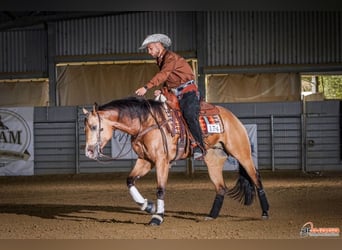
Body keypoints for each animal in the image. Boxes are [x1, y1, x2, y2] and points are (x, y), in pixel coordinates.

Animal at [83, 95, 270, 227]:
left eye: (94, 127)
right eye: (85, 128)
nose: (89, 152)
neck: (146, 122)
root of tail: (233, 118)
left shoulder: (161, 161)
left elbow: (160, 189)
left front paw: (157, 217)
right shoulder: (145, 160)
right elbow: (130, 181)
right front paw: (148, 207)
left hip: (242, 153)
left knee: (256, 178)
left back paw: (265, 212)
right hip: (213, 161)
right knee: (221, 187)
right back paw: (211, 215)